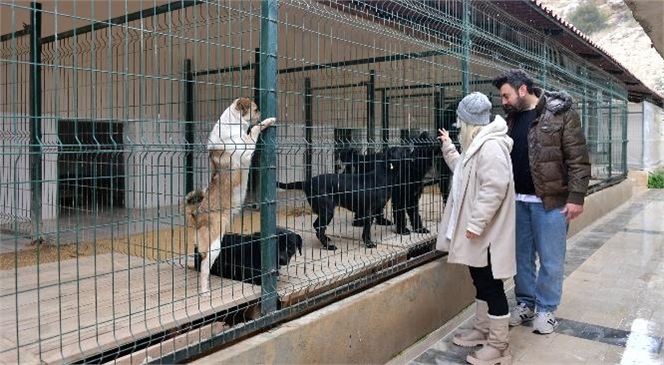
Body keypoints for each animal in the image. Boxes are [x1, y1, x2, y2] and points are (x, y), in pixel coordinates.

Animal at [189, 98, 274, 294]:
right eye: (256, 109)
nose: (262, 113)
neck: (233, 124)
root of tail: (197, 216)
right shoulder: (247, 147)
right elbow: (254, 129)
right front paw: (267, 121)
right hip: (214, 245)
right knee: (204, 267)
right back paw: (204, 290)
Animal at [274, 146, 410, 249]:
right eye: (399, 149)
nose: (409, 146)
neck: (383, 176)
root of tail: (307, 182)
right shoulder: (368, 212)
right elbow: (366, 230)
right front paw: (369, 244)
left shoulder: (375, 210)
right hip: (327, 210)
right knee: (318, 227)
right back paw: (328, 246)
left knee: (317, 227)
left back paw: (327, 239)